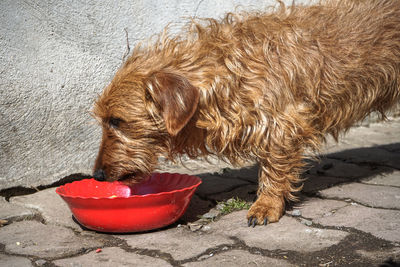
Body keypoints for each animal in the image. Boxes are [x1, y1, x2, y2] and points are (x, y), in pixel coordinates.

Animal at [93, 0, 400, 226]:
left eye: (116, 120)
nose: (96, 175)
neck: (228, 72)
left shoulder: (282, 124)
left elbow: (275, 166)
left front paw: (267, 204)